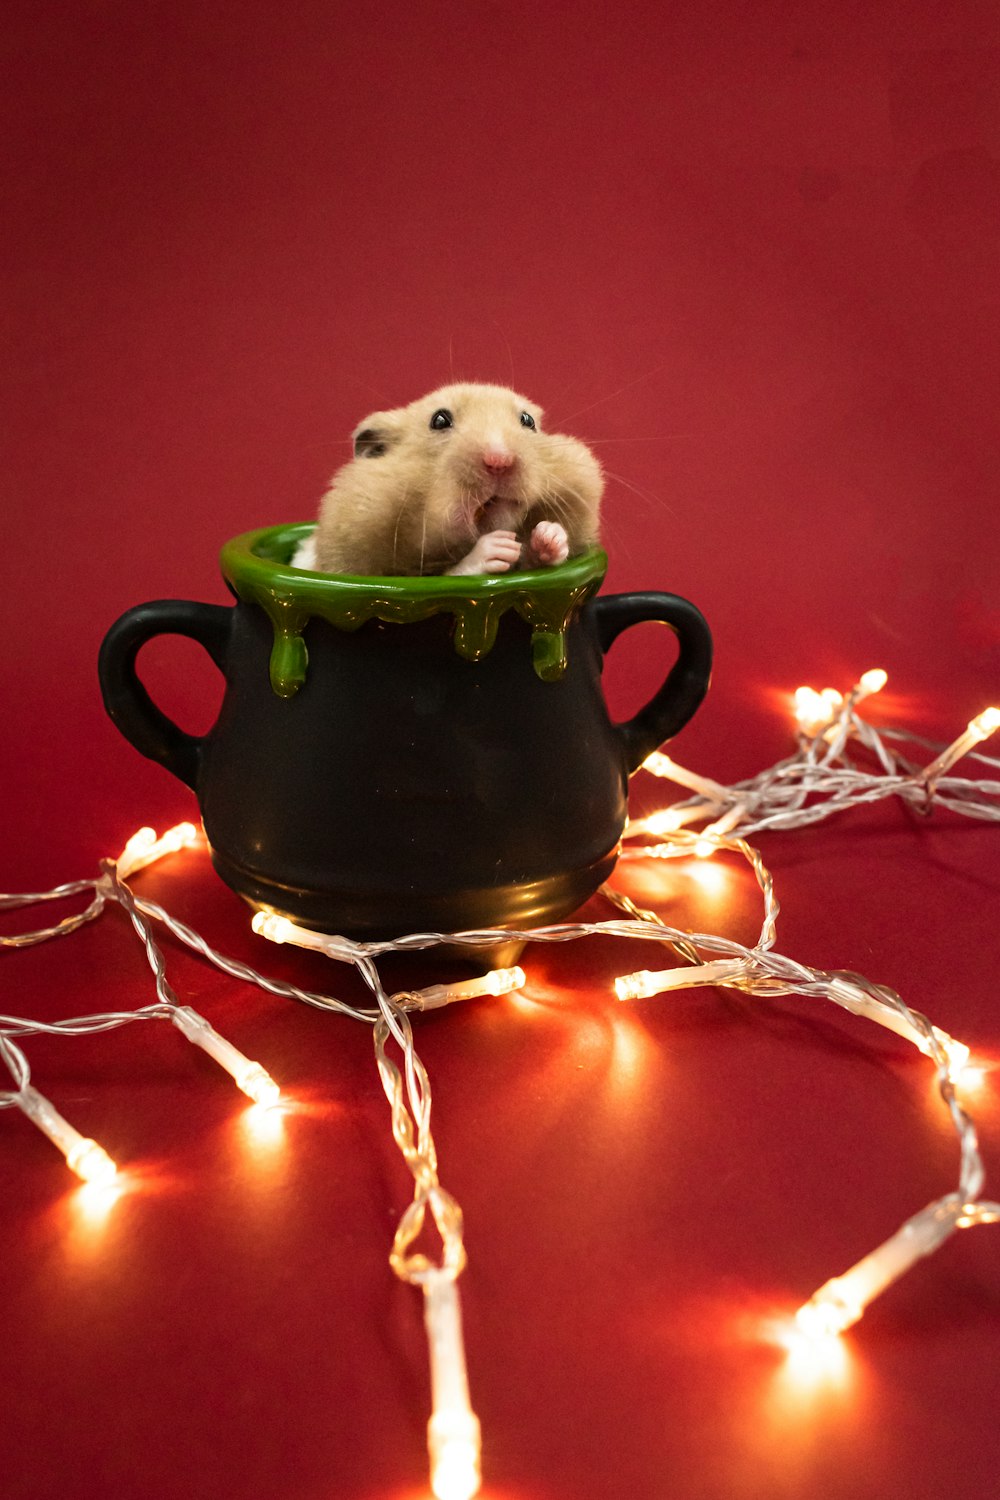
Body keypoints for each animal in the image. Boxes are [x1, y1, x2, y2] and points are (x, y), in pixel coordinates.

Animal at [299, 384, 602, 576]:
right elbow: (456, 571)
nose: (500, 460)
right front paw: (499, 547)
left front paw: (549, 535)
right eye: (440, 420)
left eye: (528, 420)